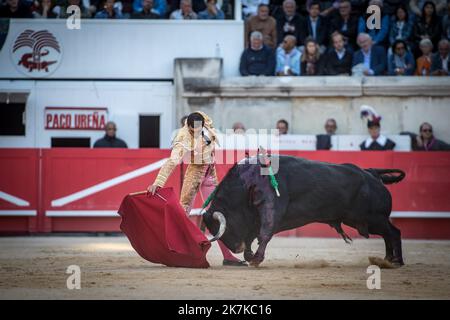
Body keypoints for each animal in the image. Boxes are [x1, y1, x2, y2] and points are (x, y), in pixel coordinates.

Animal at [202, 155, 406, 268]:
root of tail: (372, 173)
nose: (236, 248)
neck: (246, 182)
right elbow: (252, 235)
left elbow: (265, 232)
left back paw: (396, 261)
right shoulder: (253, 217)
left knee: (394, 232)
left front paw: (256, 259)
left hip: (373, 218)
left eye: (223, 227)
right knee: (388, 234)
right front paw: (250, 255)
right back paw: (387, 260)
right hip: (362, 220)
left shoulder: (271, 205)